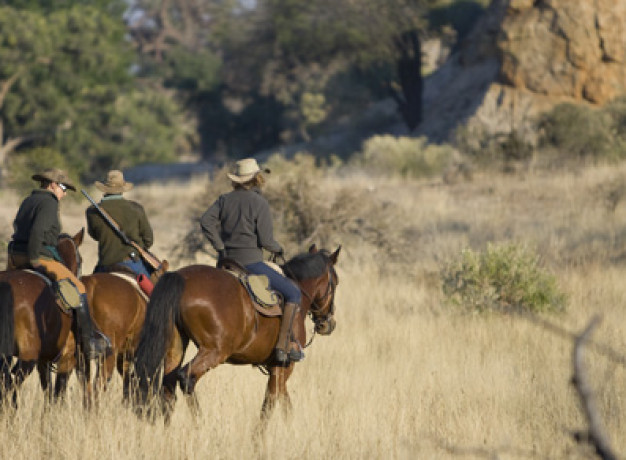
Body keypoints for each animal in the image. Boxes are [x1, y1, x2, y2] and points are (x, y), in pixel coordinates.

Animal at [0, 229, 84, 406]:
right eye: (80, 260)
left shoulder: (43, 361)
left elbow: (48, 393)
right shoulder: (66, 360)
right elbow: (57, 395)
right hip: (28, 359)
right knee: (12, 387)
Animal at [129, 246, 338, 418]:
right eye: (335, 282)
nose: (329, 324)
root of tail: (180, 277)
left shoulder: (275, 367)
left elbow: (283, 402)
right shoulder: (284, 366)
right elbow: (269, 405)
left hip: (176, 348)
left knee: (168, 386)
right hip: (214, 352)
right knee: (186, 378)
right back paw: (200, 425)